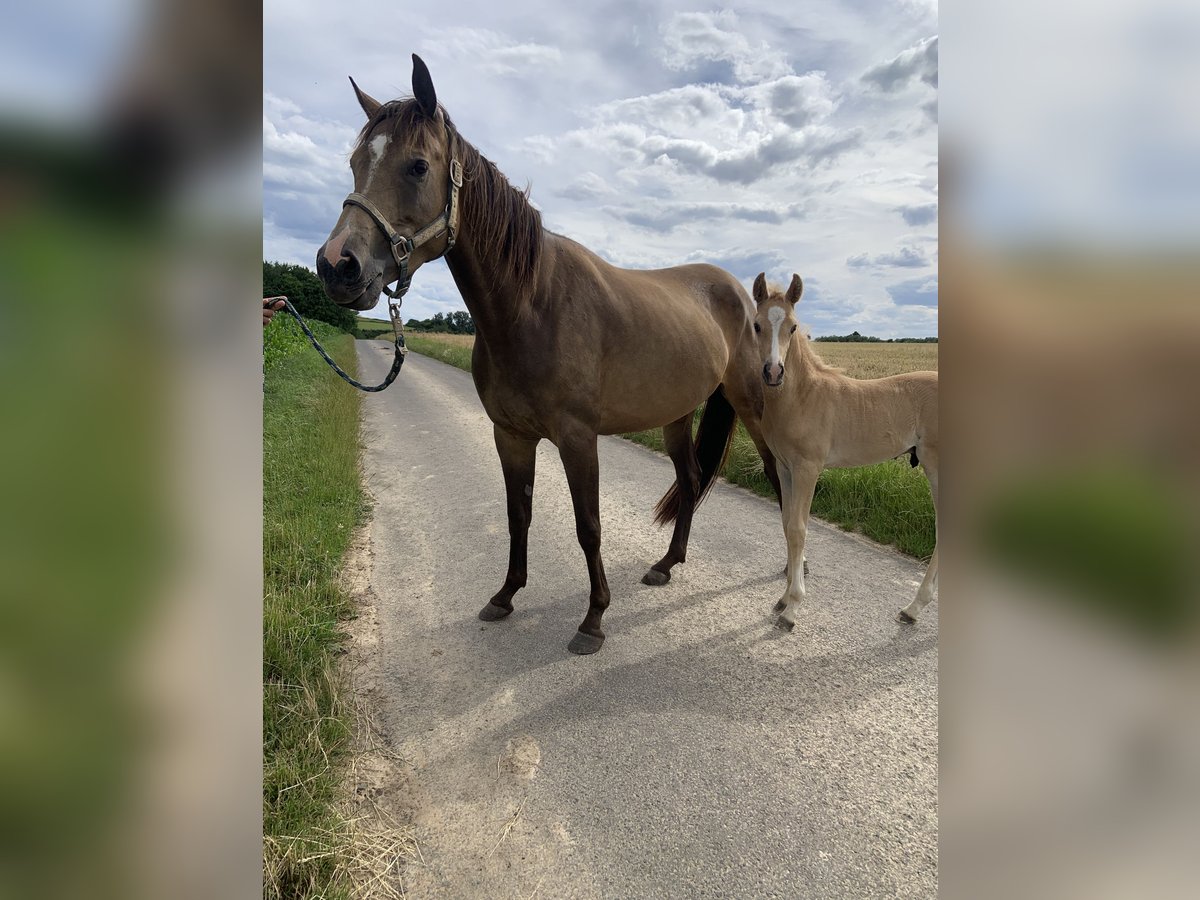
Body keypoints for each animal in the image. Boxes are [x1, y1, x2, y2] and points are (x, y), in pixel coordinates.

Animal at [316, 54, 777, 657]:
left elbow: (589, 525)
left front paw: (594, 619)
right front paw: (505, 595)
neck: (531, 305)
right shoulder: (510, 435)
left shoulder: (578, 438)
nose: (337, 266)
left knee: (778, 476)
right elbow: (519, 515)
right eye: (353, 163)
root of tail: (741, 294)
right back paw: (666, 564)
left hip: (752, 406)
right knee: (692, 479)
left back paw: (788, 577)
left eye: (417, 166)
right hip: (677, 414)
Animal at [753, 271, 940, 628]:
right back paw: (914, 609)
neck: (802, 397)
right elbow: (786, 524)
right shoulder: (785, 467)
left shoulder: (808, 468)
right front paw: (783, 598)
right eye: (756, 325)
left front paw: (792, 608)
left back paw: (913, 607)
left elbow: (798, 529)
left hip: (939, 467)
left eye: (793, 327)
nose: (773, 372)